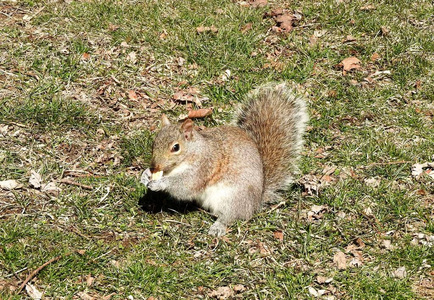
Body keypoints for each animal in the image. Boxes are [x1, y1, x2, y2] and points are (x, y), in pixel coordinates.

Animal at [140, 82, 308, 237]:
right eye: (154, 142)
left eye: (176, 147)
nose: (155, 165)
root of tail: (257, 201)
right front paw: (146, 174)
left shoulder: (203, 167)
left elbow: (185, 186)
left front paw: (160, 183)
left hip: (234, 198)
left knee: (232, 216)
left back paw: (218, 226)